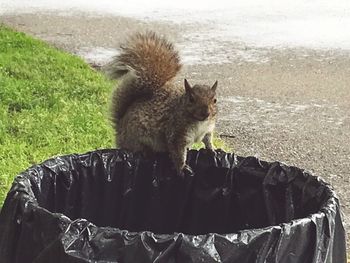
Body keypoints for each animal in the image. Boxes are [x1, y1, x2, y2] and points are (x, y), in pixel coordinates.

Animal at [105, 31, 217, 175]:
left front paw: (212, 150)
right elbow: (177, 152)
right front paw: (182, 168)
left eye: (214, 100)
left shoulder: (208, 129)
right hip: (135, 138)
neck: (199, 122)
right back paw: (146, 152)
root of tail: (119, 129)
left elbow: (207, 140)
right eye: (191, 99)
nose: (206, 113)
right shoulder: (176, 132)